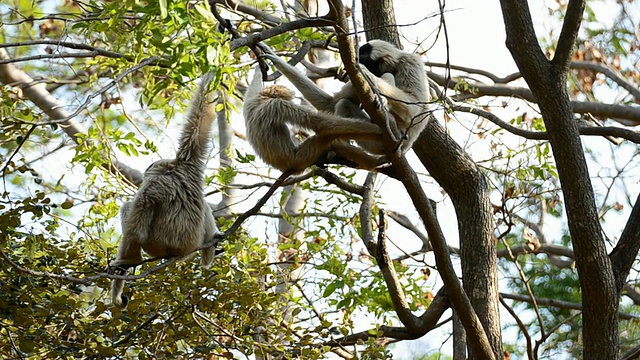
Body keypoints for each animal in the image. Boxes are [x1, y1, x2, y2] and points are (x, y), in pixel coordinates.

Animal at [109, 74, 221, 310]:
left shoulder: (153, 186)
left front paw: (127, 264)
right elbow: (203, 117)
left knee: (129, 208)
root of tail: (181, 252)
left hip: (156, 245)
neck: (173, 170)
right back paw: (209, 252)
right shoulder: (191, 163)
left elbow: (135, 230)